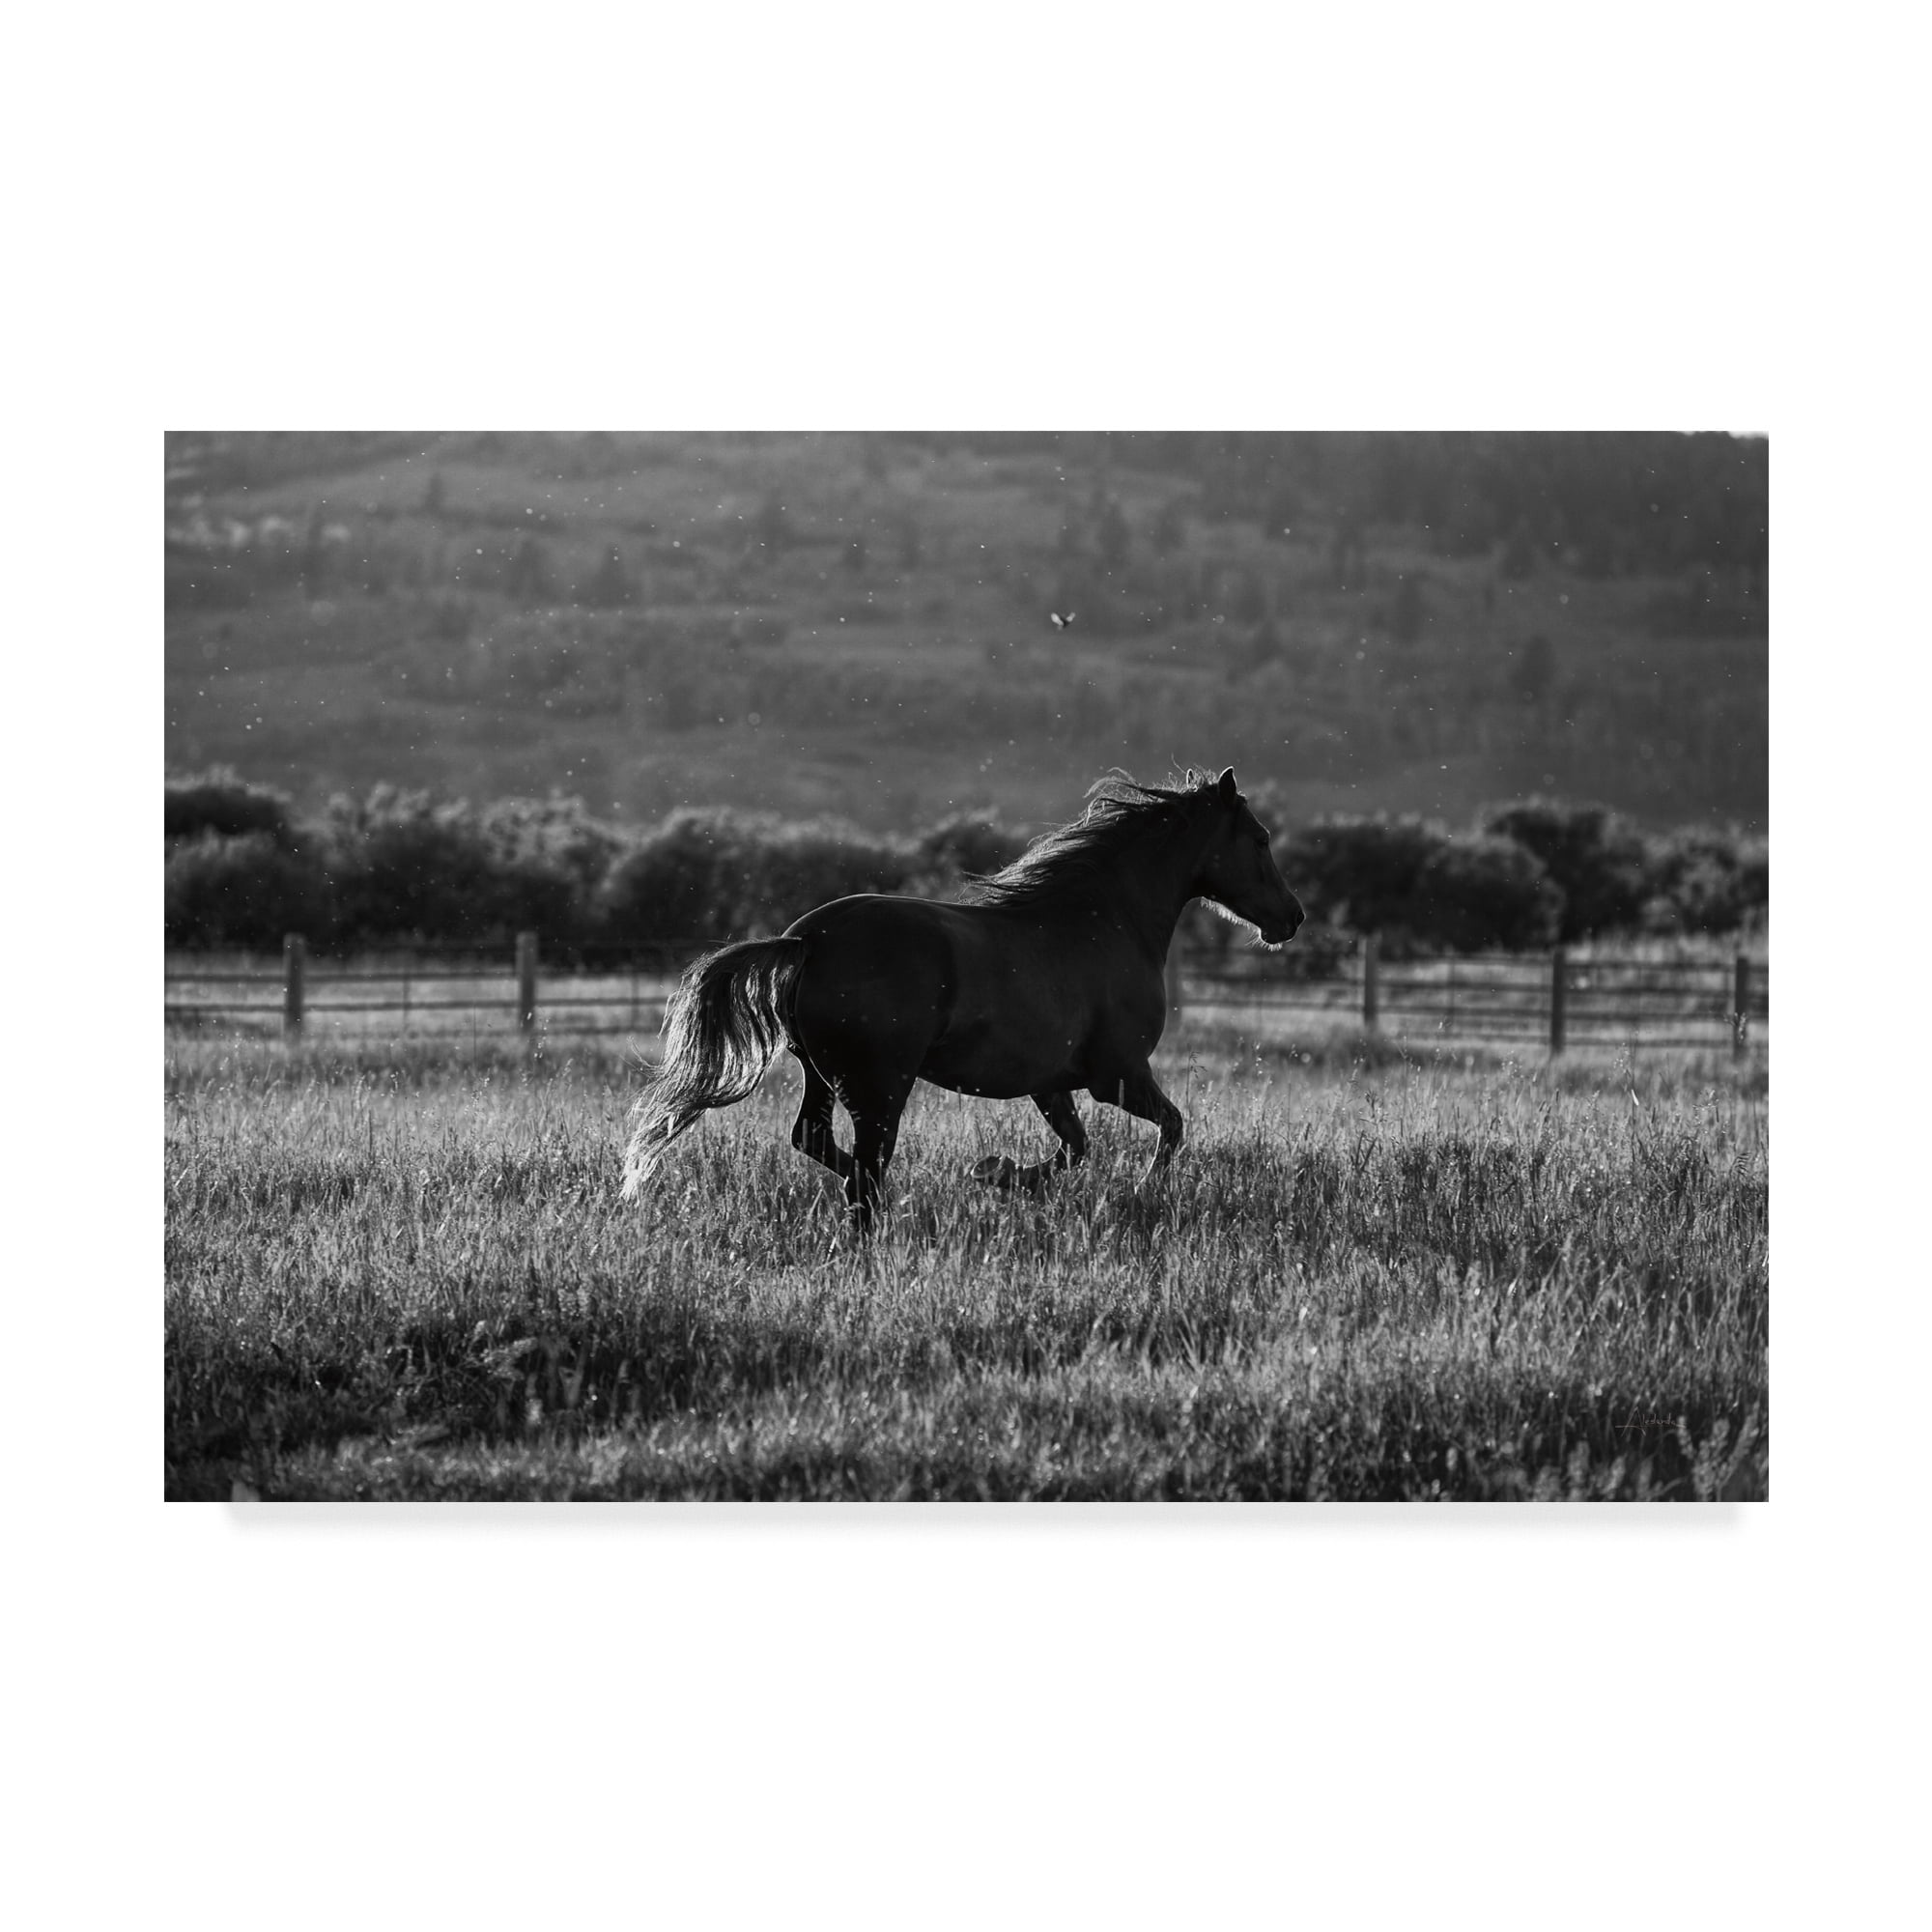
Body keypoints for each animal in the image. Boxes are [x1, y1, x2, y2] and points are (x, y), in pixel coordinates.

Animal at [622, 766, 1304, 1229]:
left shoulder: (1051, 1082)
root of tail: (806, 940)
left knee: (819, 1144)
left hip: (823, 1073)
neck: (1105, 922)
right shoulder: (1119, 1074)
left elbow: (1076, 1148)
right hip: (882, 1085)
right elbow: (1171, 1127)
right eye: (1261, 838)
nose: (1291, 918)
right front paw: (1141, 1189)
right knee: (864, 1175)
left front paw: (1000, 1175)